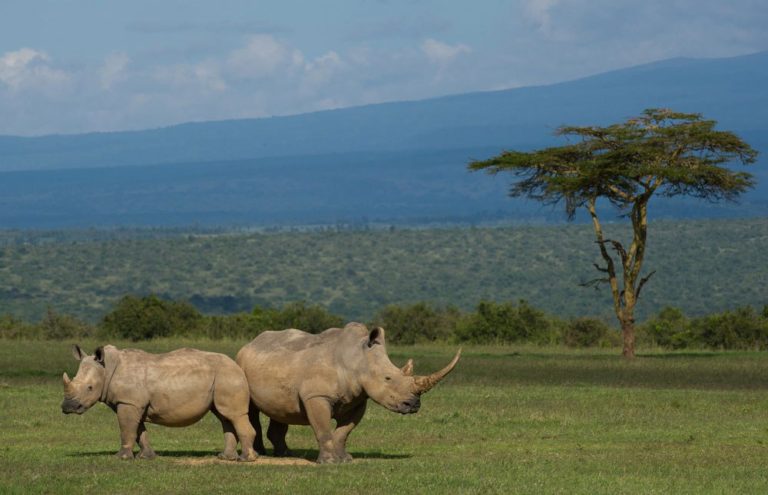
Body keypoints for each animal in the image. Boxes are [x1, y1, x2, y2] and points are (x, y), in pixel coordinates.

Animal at [60, 344, 258, 462]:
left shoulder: (128, 402)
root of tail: (237, 364)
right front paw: (146, 456)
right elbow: (139, 431)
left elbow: (126, 429)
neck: (107, 368)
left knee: (233, 415)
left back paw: (245, 459)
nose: (67, 407)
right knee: (224, 416)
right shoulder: (133, 403)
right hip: (222, 377)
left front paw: (121, 457)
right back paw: (225, 457)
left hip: (228, 376)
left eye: (90, 388)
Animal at [237, 324, 460, 464]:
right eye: (388, 378)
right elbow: (324, 429)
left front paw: (344, 459)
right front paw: (328, 462)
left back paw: (284, 453)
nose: (413, 405)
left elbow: (344, 431)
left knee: (281, 408)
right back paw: (260, 453)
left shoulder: (359, 399)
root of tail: (251, 343)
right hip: (241, 363)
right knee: (251, 408)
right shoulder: (316, 396)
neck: (358, 360)